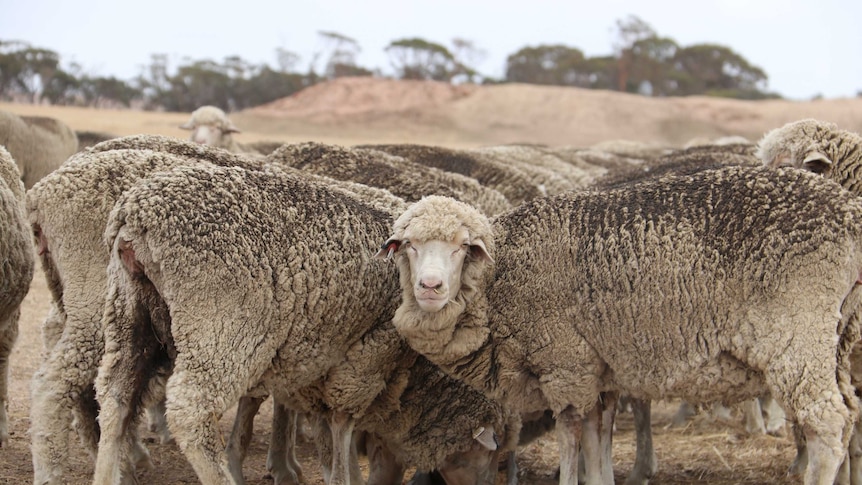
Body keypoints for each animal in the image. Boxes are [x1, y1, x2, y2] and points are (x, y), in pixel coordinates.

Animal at [93, 163, 512, 484]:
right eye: (484, 456)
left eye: (462, 248)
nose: (431, 286)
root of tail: (137, 214)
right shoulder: (365, 358)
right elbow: (342, 423)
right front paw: (344, 475)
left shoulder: (315, 362)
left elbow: (319, 422)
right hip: (221, 328)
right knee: (189, 413)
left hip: (129, 312)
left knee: (115, 395)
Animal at [382, 164, 862, 484]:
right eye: (407, 246)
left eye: (463, 248)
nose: (430, 286)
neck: (498, 280)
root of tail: (848, 215)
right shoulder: (601, 370)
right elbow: (600, 438)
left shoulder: (567, 365)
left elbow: (572, 434)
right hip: (839, 338)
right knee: (850, 416)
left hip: (798, 334)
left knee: (827, 424)